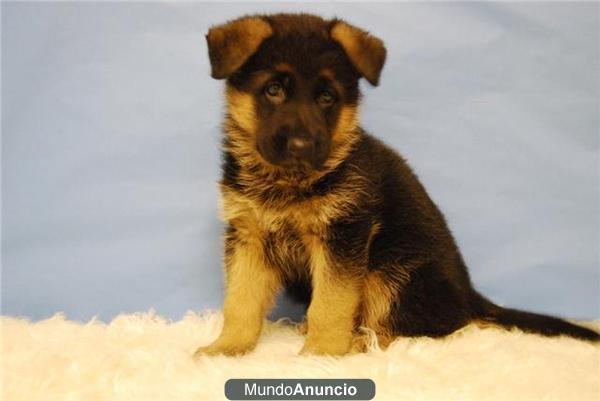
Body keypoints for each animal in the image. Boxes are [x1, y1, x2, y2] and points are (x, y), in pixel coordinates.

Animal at [195, 14, 596, 354]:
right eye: (274, 89)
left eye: (327, 98)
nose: (301, 145)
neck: (289, 182)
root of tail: (471, 296)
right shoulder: (248, 237)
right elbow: (240, 301)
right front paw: (227, 348)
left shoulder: (344, 237)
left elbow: (330, 303)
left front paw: (320, 354)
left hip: (390, 272)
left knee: (432, 330)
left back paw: (360, 342)